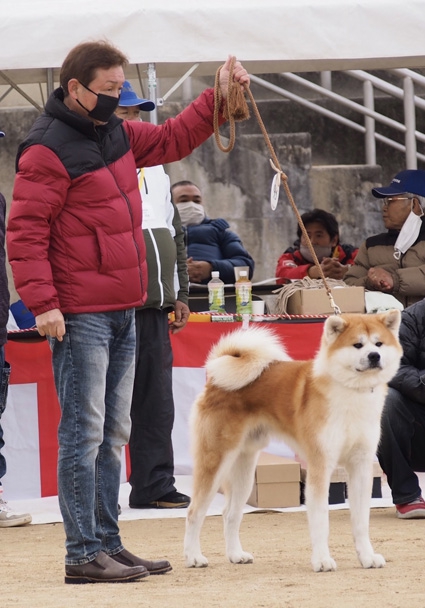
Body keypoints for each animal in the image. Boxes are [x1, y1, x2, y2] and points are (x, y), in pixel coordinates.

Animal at [183, 312, 400, 572]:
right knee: (194, 512)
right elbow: (321, 520)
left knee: (230, 514)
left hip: (244, 472)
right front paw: (322, 560)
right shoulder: (320, 466)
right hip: (215, 461)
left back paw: (236, 554)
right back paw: (194, 557)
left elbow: (361, 522)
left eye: (379, 344)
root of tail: (216, 379)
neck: (351, 393)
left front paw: (367, 557)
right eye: (358, 345)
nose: (374, 356)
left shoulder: (361, 465)